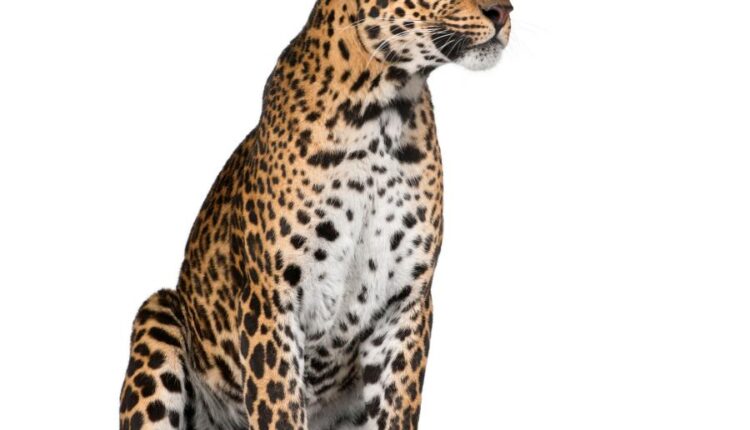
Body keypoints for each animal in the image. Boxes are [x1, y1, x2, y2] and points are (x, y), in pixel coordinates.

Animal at [119, 1, 513, 429]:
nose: (504, 12)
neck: (381, 114)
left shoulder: (405, 304)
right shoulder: (271, 302)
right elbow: (280, 408)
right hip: (157, 315)